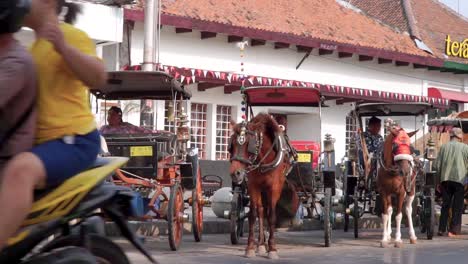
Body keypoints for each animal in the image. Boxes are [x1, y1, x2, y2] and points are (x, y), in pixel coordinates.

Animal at [228, 112, 292, 258]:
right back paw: (261, 244)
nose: (236, 173)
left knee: (267, 211)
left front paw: (272, 248)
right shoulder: (253, 186)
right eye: (232, 145)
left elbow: (272, 215)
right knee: (261, 211)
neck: (264, 159)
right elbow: (253, 215)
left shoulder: (274, 187)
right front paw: (250, 247)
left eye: (248, 144)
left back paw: (267, 243)